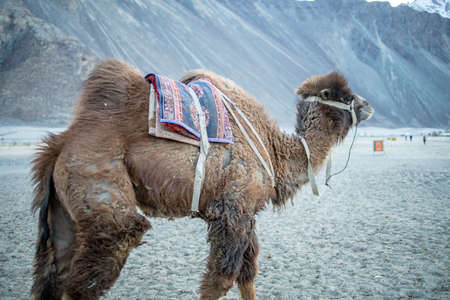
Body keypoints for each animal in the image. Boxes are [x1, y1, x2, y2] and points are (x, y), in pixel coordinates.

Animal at [30, 59, 372, 300]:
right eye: (346, 96)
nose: (368, 105)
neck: (274, 151)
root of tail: (61, 144)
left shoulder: (246, 214)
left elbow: (247, 275)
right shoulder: (232, 210)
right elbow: (219, 281)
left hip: (65, 211)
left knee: (53, 277)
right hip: (99, 183)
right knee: (89, 273)